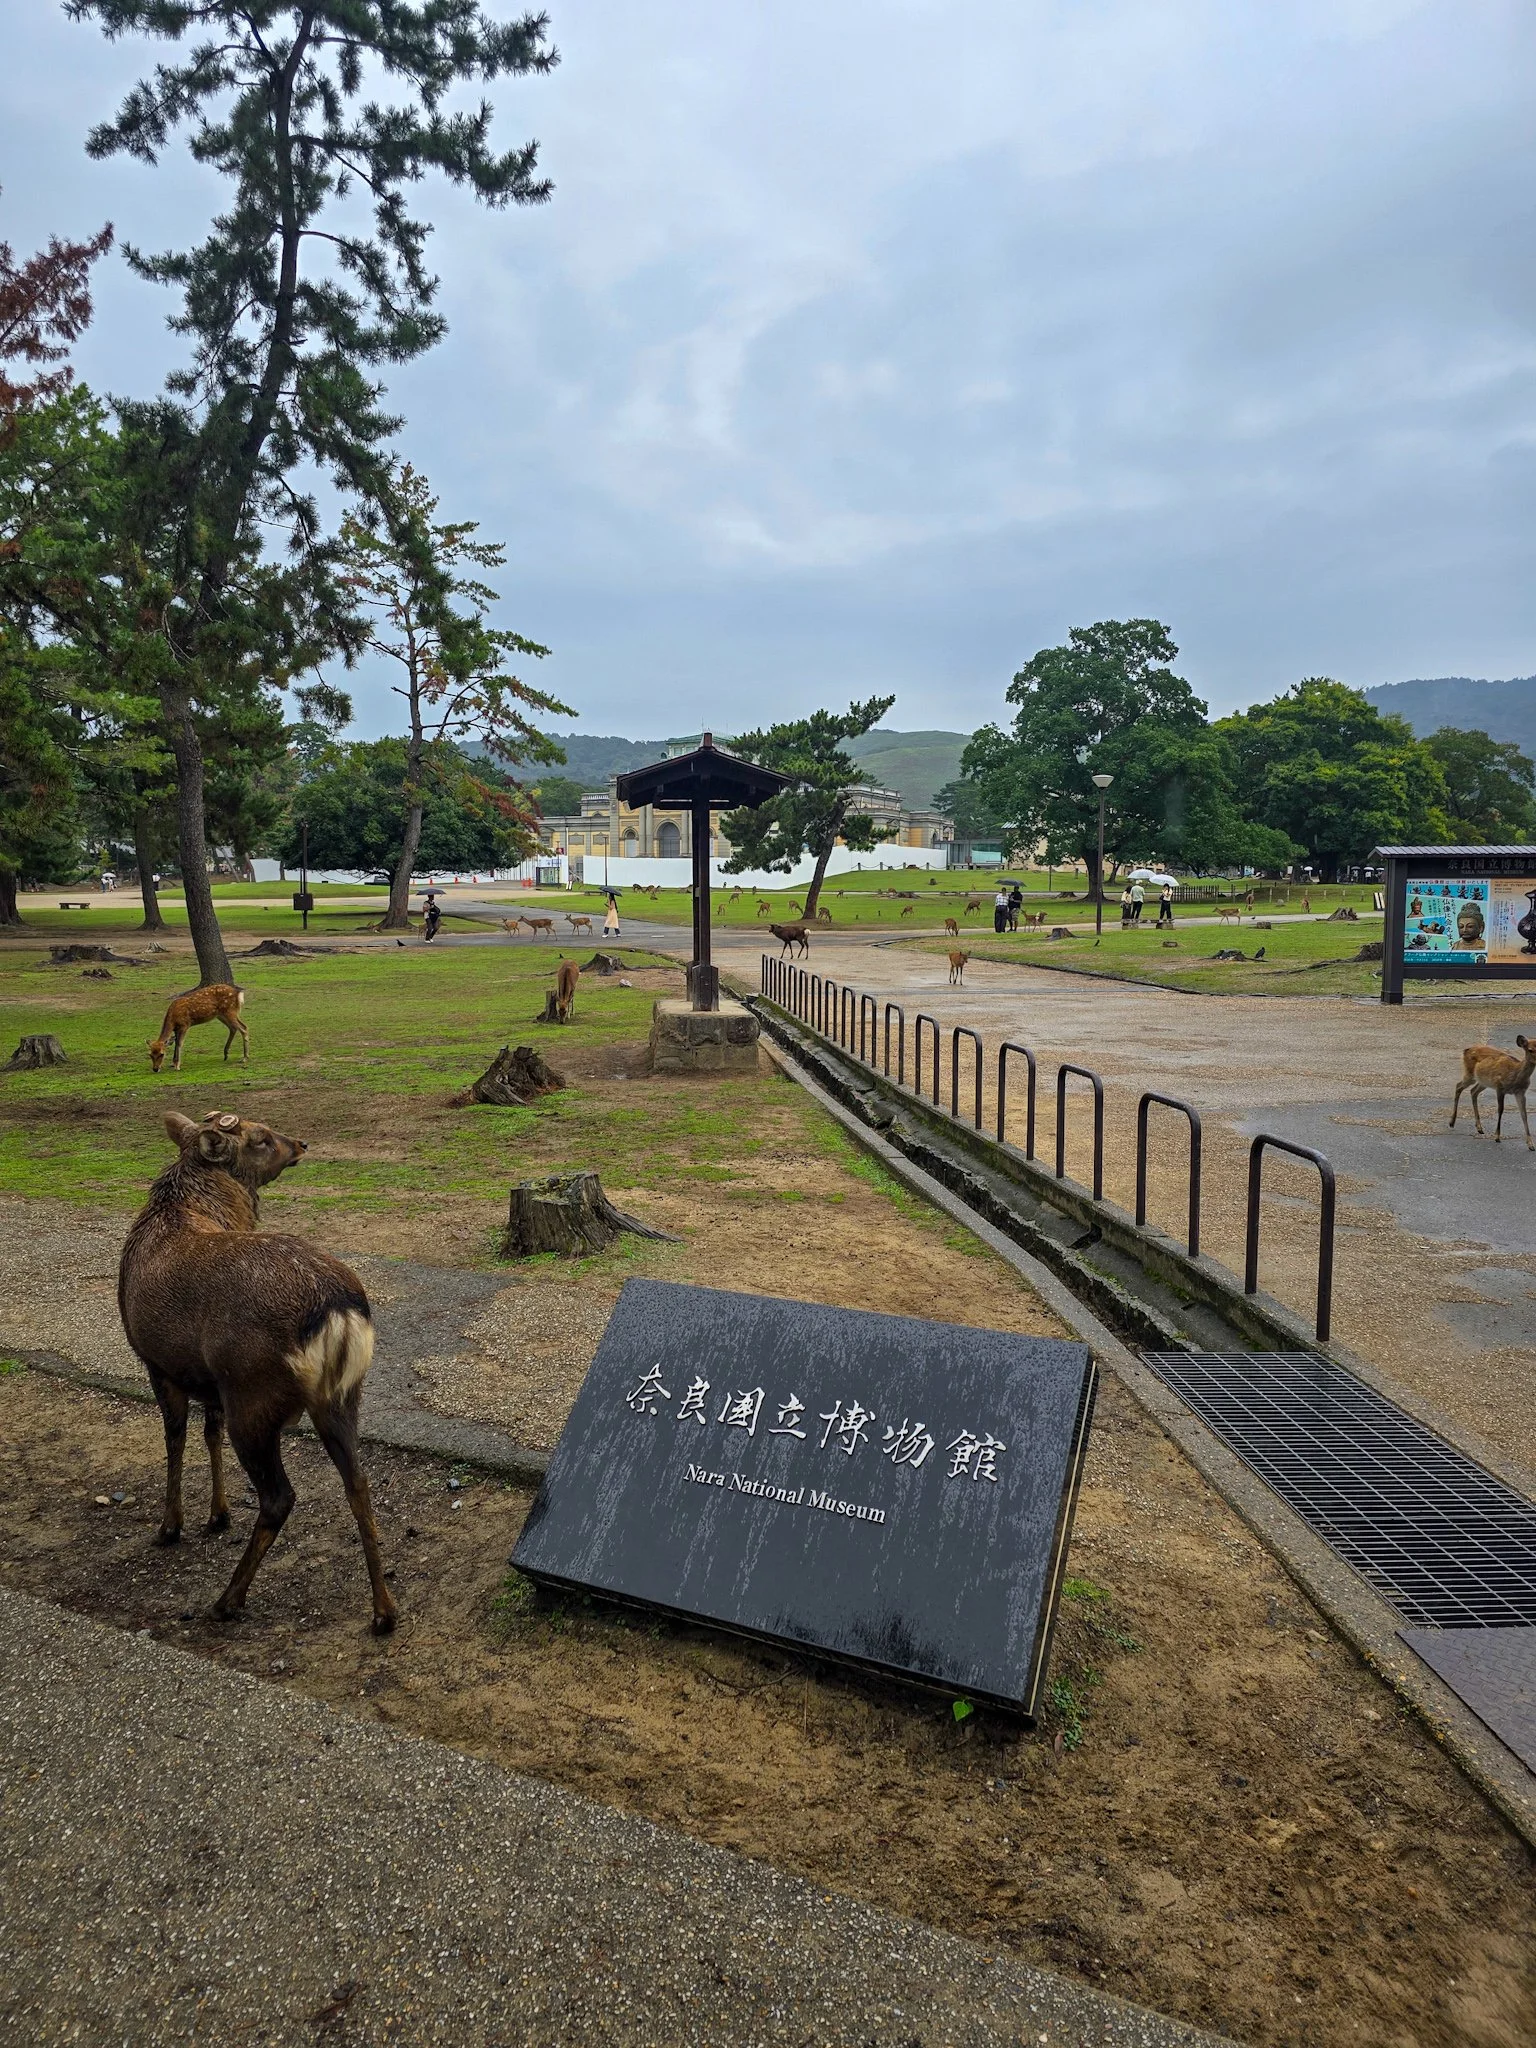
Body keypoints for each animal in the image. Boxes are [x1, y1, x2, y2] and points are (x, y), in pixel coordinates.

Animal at [117, 1110, 395, 1634]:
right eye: (261, 1137)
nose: (302, 1143)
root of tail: (336, 1310)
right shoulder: (208, 1381)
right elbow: (208, 1434)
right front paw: (217, 1514)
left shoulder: (157, 1362)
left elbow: (175, 1438)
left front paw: (171, 1526)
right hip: (340, 1396)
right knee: (359, 1480)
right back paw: (384, 1612)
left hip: (253, 1394)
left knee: (279, 1497)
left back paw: (228, 1599)